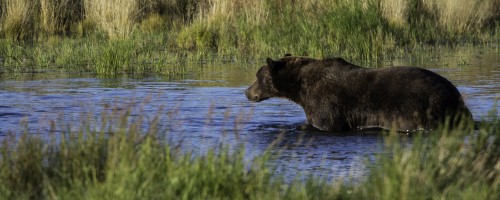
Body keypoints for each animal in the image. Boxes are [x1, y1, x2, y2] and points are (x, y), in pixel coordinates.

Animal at [245, 54, 472, 133]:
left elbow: (325, 123)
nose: (247, 92)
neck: (300, 87)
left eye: (257, 76)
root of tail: (454, 94)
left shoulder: (324, 102)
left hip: (420, 107)